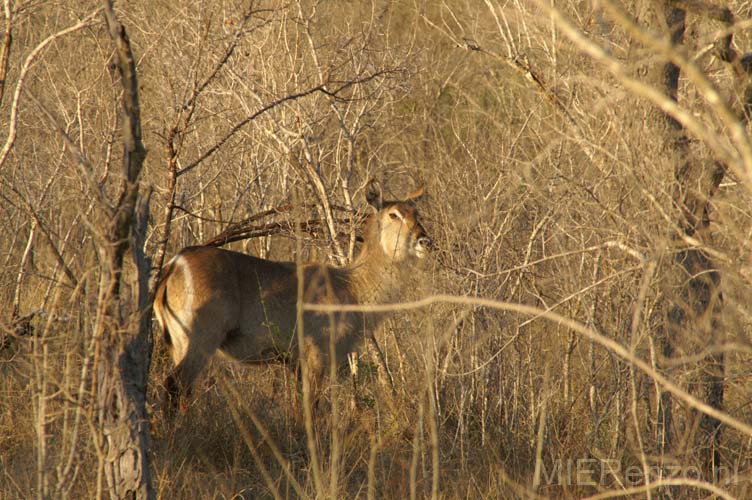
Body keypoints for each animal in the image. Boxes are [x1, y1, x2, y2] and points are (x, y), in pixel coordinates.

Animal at [153, 180, 432, 410]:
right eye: (394, 214)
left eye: (416, 214)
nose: (425, 241)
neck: (352, 288)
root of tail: (174, 265)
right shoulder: (316, 352)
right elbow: (311, 408)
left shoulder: (295, 362)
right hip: (200, 337)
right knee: (174, 386)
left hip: (178, 342)